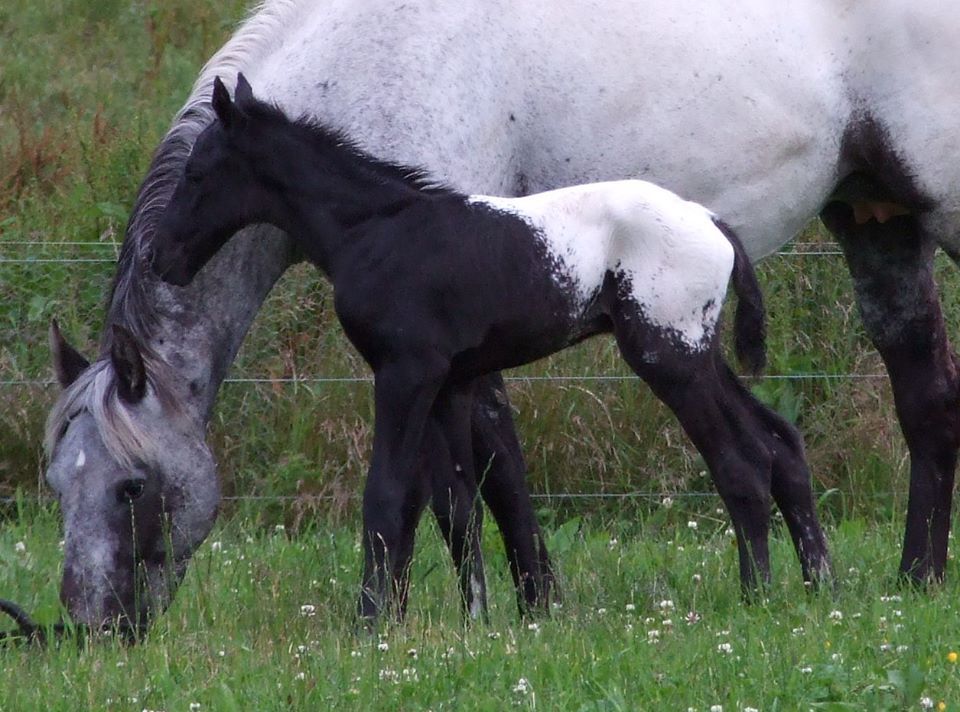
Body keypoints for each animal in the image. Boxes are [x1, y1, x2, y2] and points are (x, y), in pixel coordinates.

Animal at [41, 0, 960, 636]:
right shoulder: (452, 365)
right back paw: (898, 580)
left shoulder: (425, 364)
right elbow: (467, 486)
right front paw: (502, 609)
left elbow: (449, 481)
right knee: (907, 407)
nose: (92, 629)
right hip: (872, 224)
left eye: (132, 487)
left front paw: (469, 610)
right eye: (56, 483)